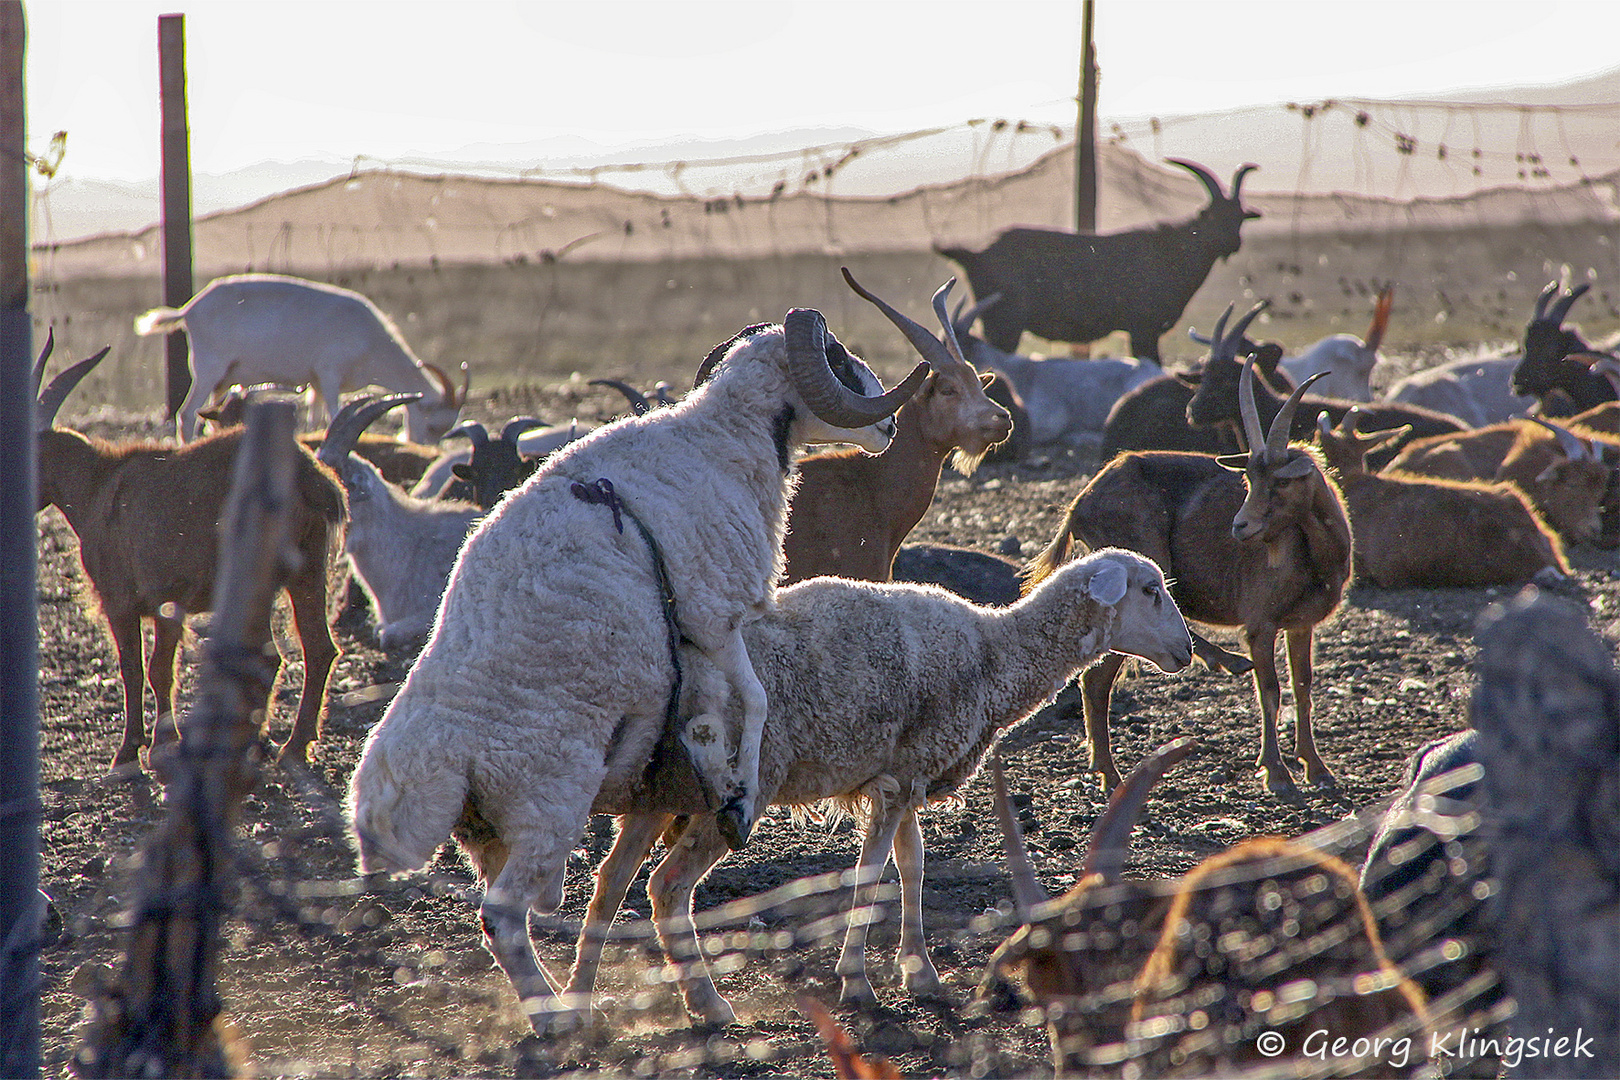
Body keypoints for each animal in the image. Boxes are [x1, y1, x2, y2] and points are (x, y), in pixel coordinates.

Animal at [133, 278, 469, 446]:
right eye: (433, 425)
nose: (425, 450)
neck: (370, 340)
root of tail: (188, 310)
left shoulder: (316, 384)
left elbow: (316, 420)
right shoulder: (329, 375)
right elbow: (334, 415)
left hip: (223, 381)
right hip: (207, 370)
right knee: (187, 415)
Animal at [939, 158, 1263, 359]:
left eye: (1239, 216)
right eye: (1212, 215)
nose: (1233, 243)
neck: (1171, 252)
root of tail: (976, 255)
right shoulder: (1142, 329)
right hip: (1004, 321)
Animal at [1030, 338, 1360, 793]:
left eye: (1281, 481)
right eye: (1249, 480)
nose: (1240, 526)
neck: (1316, 557)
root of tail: (1079, 505)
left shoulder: (1300, 624)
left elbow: (1303, 687)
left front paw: (1316, 767)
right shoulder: (1260, 624)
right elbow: (1270, 690)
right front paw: (1277, 774)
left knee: (1096, 681)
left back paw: (1107, 770)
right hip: (1142, 564)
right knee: (1098, 678)